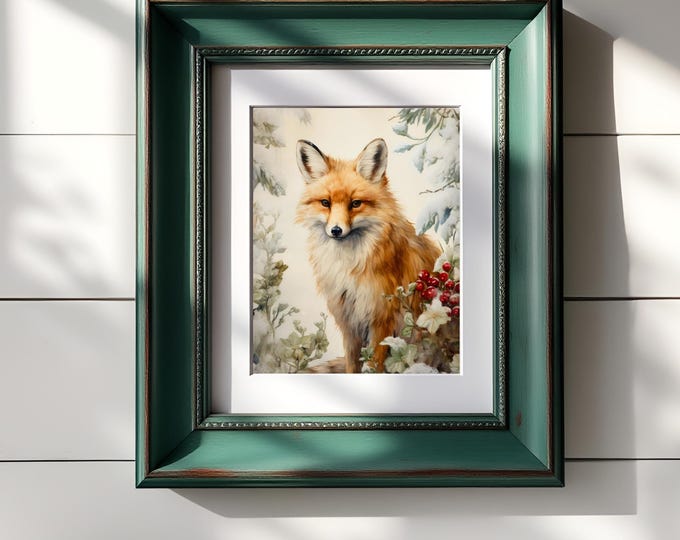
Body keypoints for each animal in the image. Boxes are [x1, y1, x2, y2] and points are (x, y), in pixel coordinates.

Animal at [295, 138, 441, 373]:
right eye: (325, 203)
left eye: (355, 203)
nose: (336, 230)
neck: (348, 265)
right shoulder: (349, 322)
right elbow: (352, 365)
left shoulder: (382, 320)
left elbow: (374, 365)